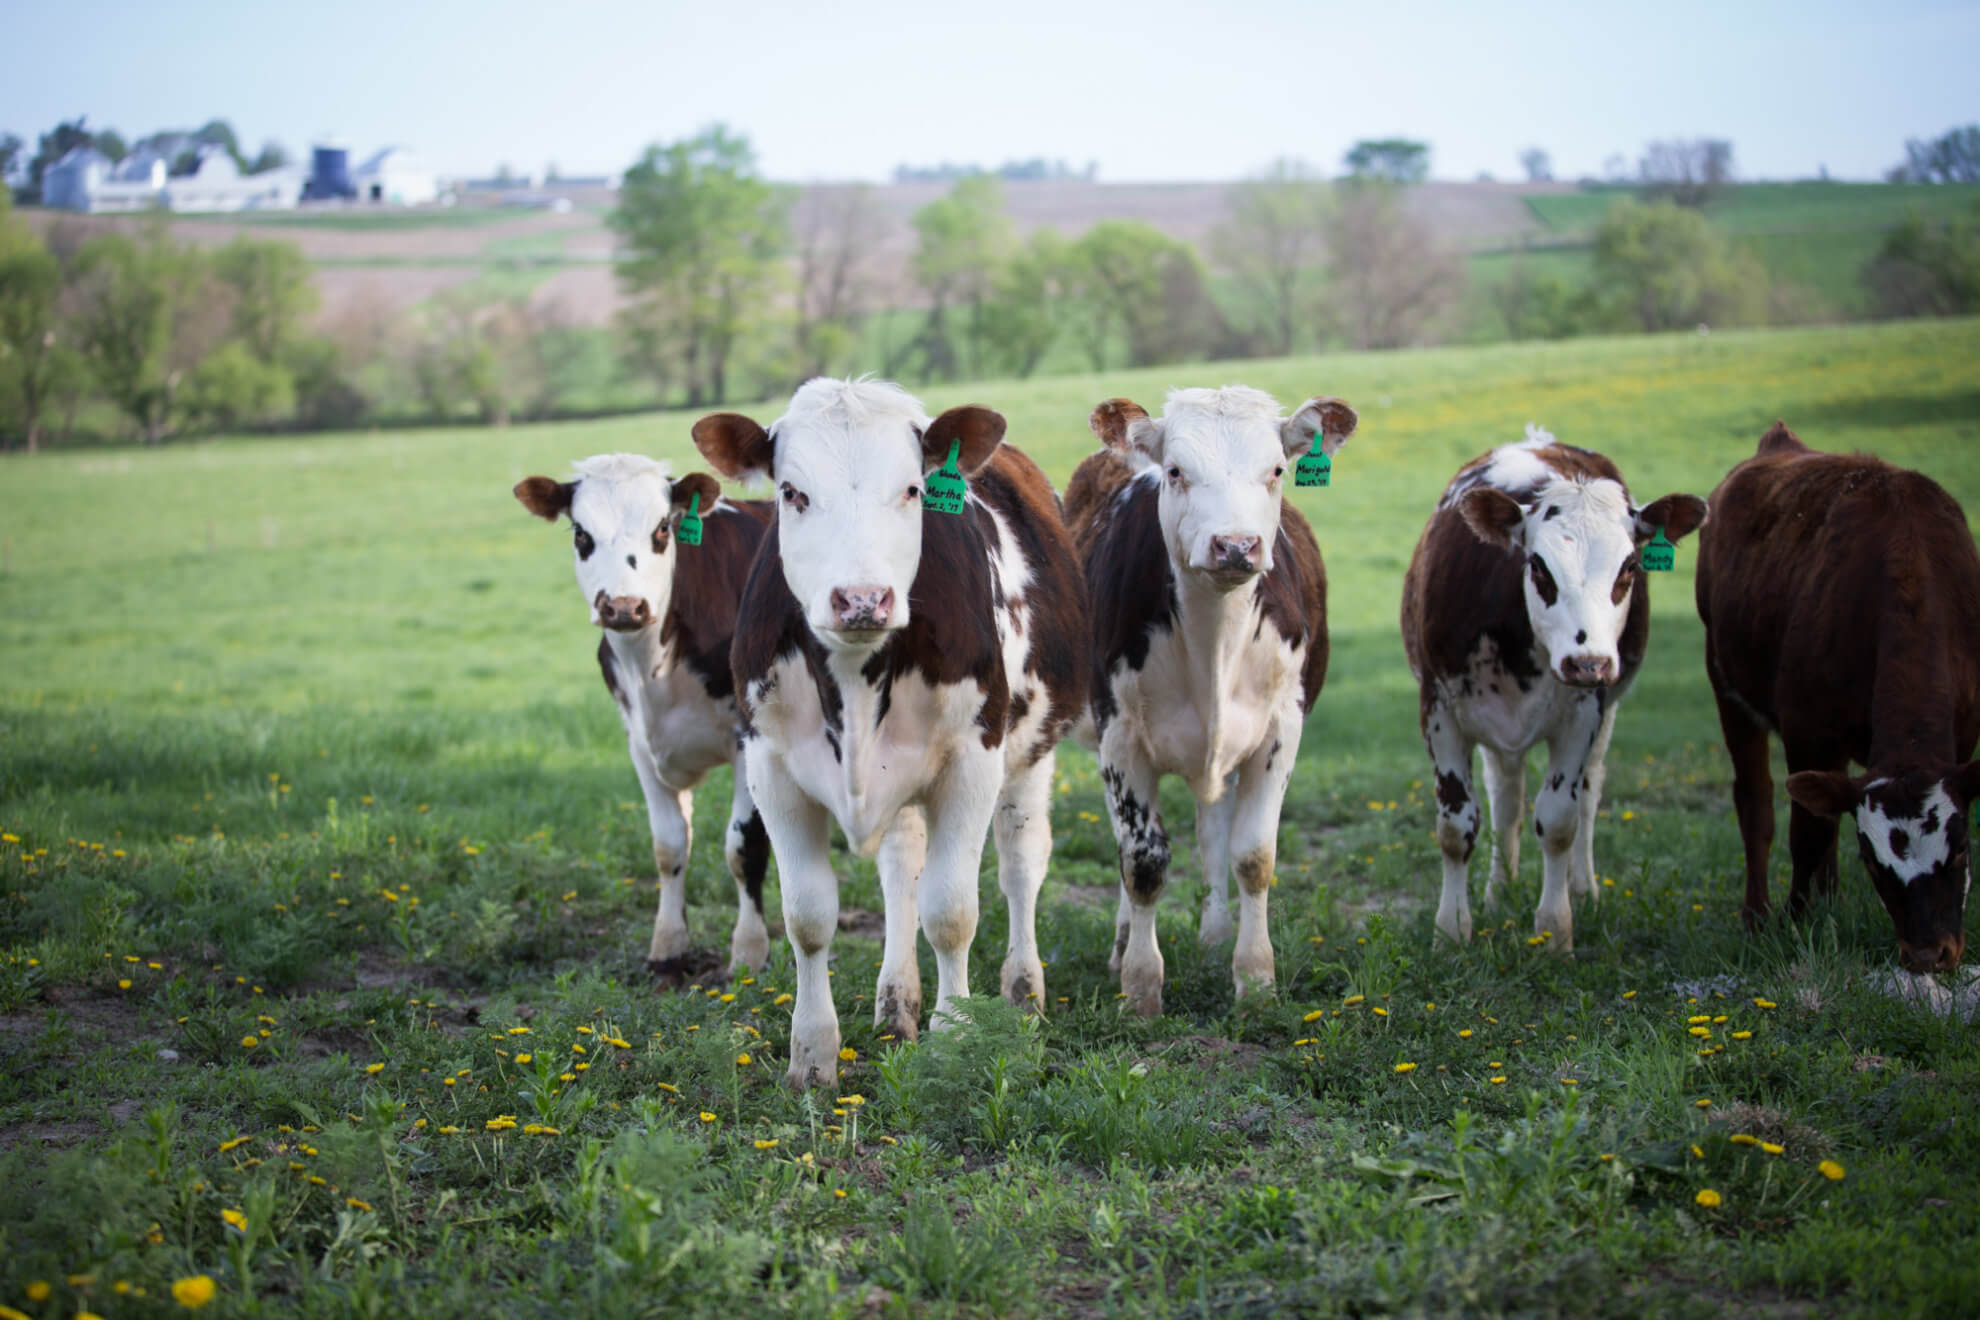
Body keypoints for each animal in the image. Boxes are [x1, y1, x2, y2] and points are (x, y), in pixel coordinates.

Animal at [510, 455, 772, 981]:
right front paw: (668, 946)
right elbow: (668, 846)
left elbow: (743, 846)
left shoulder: (748, 738)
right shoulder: (640, 741)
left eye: (662, 529)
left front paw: (749, 952)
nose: (624, 607)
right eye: (581, 534)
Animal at [685, 376, 1085, 1092]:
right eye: (792, 492)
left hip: (1034, 749)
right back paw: (896, 1004)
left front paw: (955, 1038)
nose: (863, 599)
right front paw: (813, 1055)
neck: (853, 677)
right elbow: (810, 917)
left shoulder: (972, 761)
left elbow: (951, 912)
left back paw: (1023, 994)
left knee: (1020, 865)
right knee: (903, 872)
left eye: (912, 489)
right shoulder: (771, 768)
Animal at [1061, 387, 1354, 1021]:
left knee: (1213, 830)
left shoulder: (1280, 730)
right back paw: (1125, 944)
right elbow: (1142, 861)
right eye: (1175, 471)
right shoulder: (1119, 737)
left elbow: (1252, 856)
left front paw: (1256, 979)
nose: (1236, 545)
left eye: (1277, 469)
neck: (1214, 639)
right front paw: (1141, 987)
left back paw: (1217, 934)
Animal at [1401, 423, 1710, 949]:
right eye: (1540, 566)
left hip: (1605, 710)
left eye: (1630, 567)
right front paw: (1452, 930)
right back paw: (1499, 891)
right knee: (1506, 800)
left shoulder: (1585, 713)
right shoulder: (1439, 710)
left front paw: (1554, 930)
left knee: (1587, 793)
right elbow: (1457, 826)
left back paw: (1581, 890)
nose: (1588, 662)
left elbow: (1561, 820)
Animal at [1686, 423, 1980, 969]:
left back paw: (1829, 901)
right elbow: (1807, 833)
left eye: (1960, 849)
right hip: (1728, 687)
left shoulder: (1963, 736)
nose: (1930, 954)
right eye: (1873, 861)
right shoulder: (1808, 732)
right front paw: (1793, 919)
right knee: (1756, 803)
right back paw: (1759, 914)